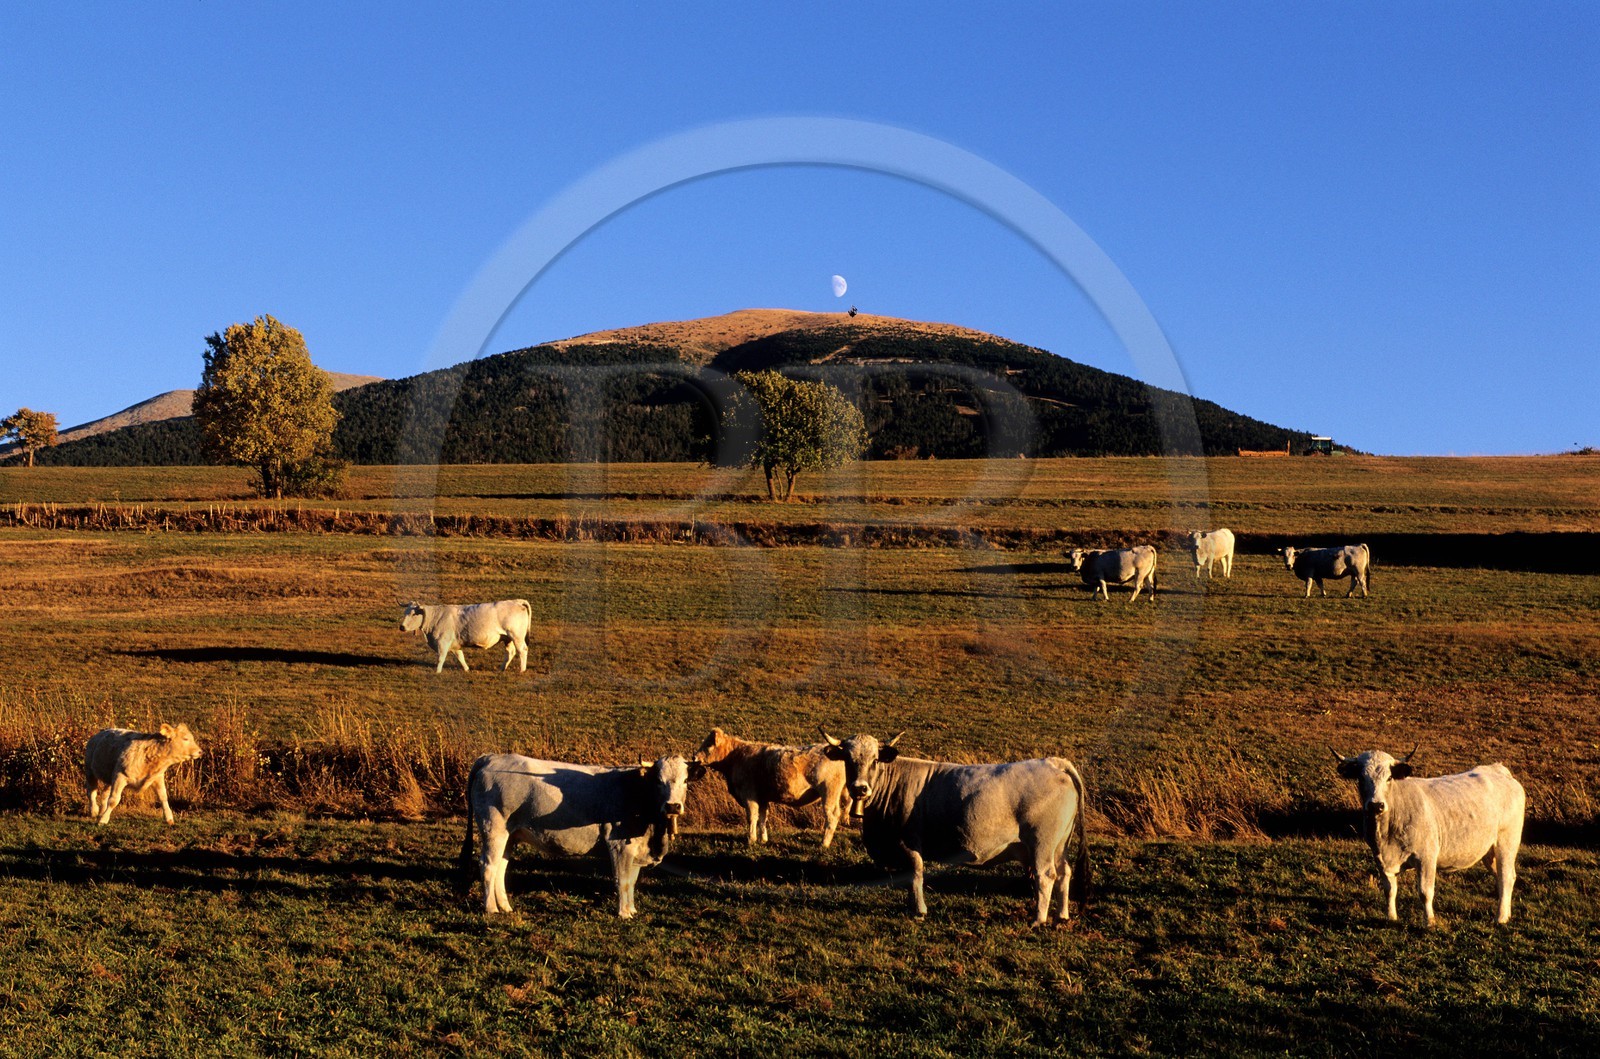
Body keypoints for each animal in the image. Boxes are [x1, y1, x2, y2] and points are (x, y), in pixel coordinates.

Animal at [400, 600, 532, 673]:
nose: (401, 627)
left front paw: (437, 672)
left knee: (522, 650)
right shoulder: (454, 645)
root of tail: (516, 601)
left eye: (413, 614)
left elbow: (441, 658)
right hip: (507, 639)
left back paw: (522, 670)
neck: (436, 617)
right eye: (405, 612)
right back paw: (501, 669)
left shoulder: (443, 642)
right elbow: (460, 657)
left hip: (516, 636)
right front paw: (467, 669)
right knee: (510, 652)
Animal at [459, 753, 693, 918]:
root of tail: (491, 757)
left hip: (510, 835)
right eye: (658, 780)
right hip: (494, 829)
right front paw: (624, 913)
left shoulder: (635, 849)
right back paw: (491, 908)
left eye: (685, 780)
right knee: (488, 866)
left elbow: (632, 880)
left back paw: (505, 907)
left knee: (501, 867)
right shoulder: (618, 845)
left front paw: (632, 910)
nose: (673, 806)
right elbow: (623, 880)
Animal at [694, 728, 853, 849]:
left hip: (829, 792)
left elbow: (752, 817)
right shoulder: (762, 797)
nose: (694, 757)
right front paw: (763, 839)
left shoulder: (749, 794)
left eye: (708, 745)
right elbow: (763, 817)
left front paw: (751, 839)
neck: (736, 757)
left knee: (832, 816)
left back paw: (824, 843)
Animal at [821, 730, 1089, 926]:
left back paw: (1038, 920)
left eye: (875, 759)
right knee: (1064, 873)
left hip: (1042, 842)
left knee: (1046, 875)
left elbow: (915, 874)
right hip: (1060, 844)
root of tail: (1053, 762)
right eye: (848, 760)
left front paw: (919, 910)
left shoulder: (908, 843)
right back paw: (1062, 915)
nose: (860, 788)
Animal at [1332, 748, 1525, 925]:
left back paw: (1500, 918)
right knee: (1503, 877)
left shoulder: (1426, 857)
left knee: (1506, 877)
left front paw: (1429, 921)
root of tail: (1498, 769)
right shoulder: (1380, 860)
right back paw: (1506, 913)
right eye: (1361, 778)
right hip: (1489, 851)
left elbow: (1425, 892)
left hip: (1506, 844)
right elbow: (1389, 890)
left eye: (1389, 778)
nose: (1376, 805)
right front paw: (1391, 917)